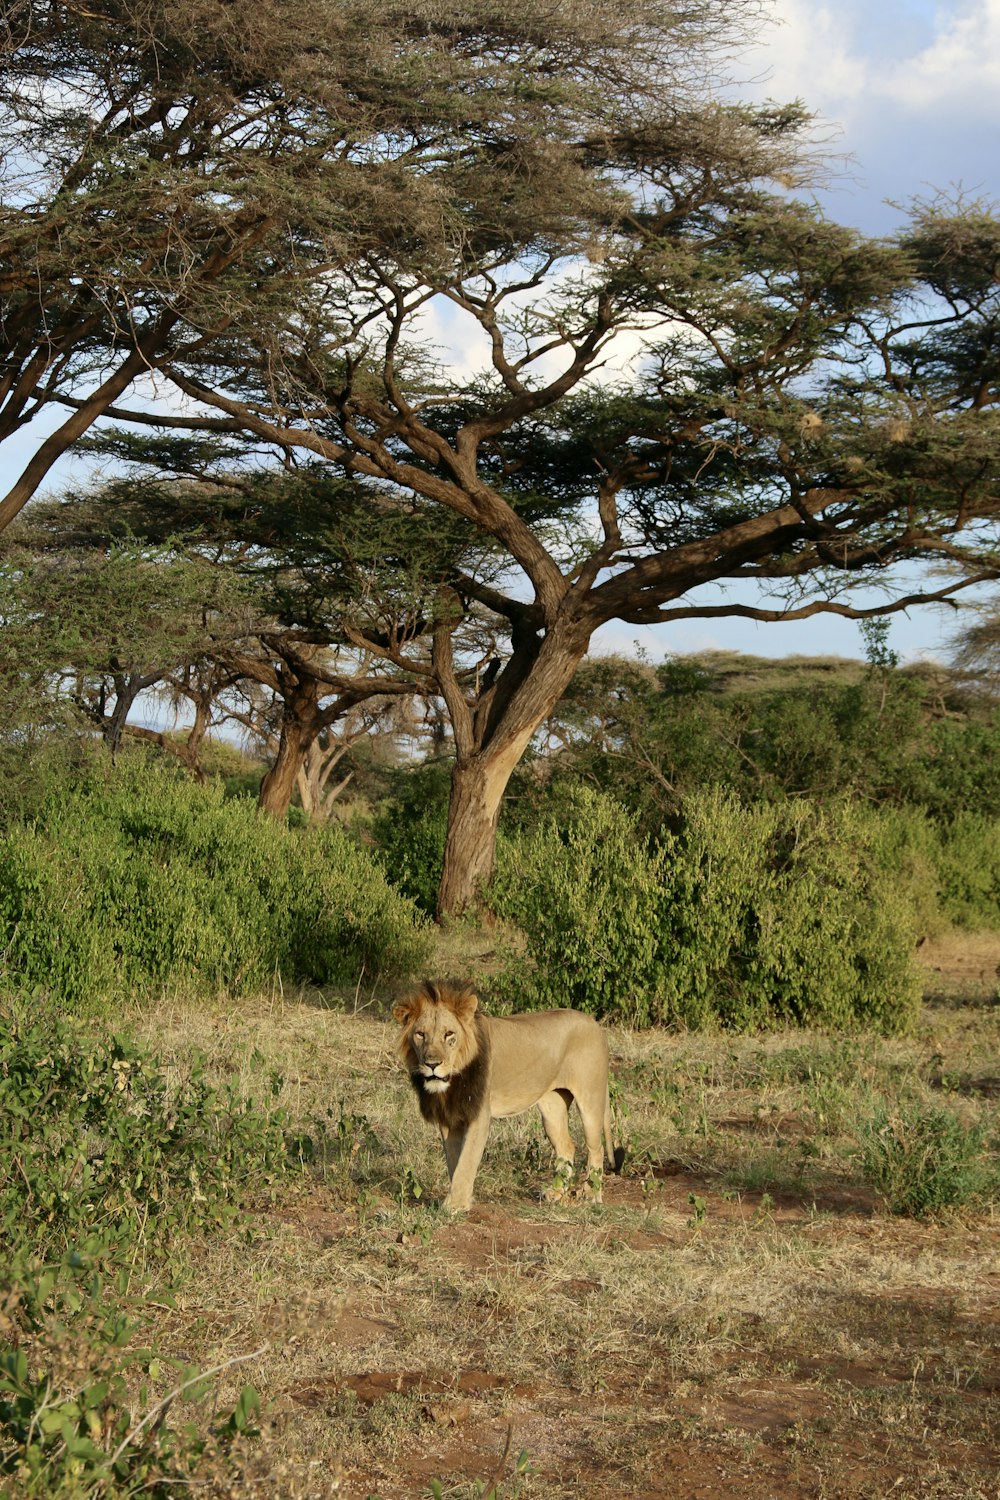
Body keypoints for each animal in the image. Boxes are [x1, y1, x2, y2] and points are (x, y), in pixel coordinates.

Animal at [392, 978, 620, 1212]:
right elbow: (454, 1161)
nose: (432, 1064)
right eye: (421, 1034)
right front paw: (461, 1199)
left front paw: (455, 1205)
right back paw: (557, 1193)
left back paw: (591, 1195)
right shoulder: (450, 1119)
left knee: (596, 1148)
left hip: (590, 1100)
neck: (452, 1082)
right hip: (552, 1106)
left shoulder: (479, 1116)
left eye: (449, 1035)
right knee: (567, 1145)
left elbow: (466, 1161)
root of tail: (595, 1024)